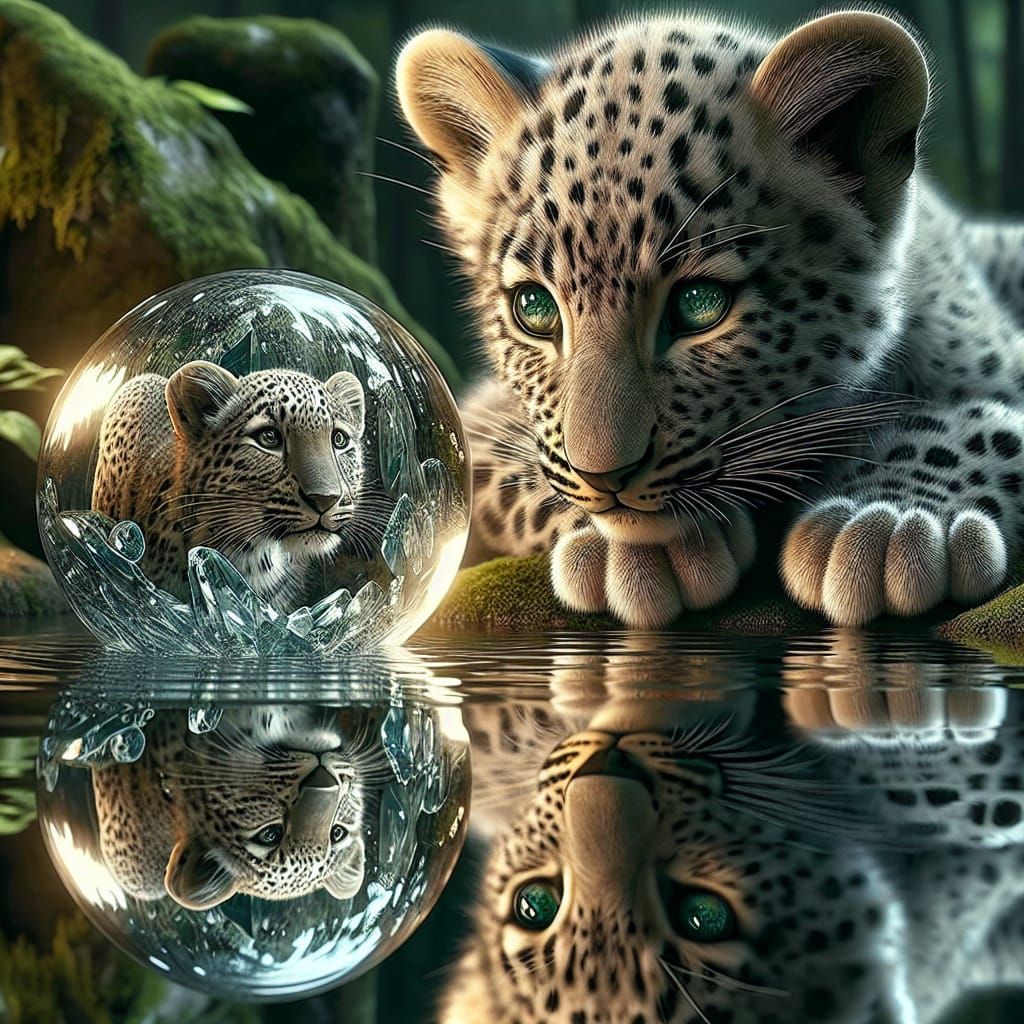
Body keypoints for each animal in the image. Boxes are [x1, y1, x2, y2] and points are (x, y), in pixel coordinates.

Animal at [397, 8, 1024, 629]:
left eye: (699, 304)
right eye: (534, 309)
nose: (604, 478)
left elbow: (972, 426)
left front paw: (882, 519)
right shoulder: (470, 417)